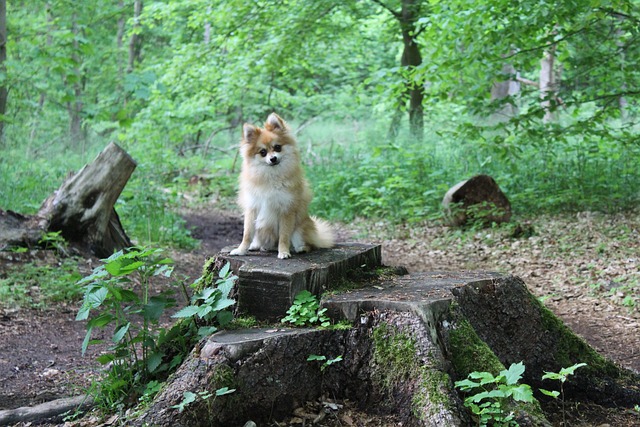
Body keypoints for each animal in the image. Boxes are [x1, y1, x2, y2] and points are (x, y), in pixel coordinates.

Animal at [230, 113, 336, 260]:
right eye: (263, 152)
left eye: (277, 147)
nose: (273, 158)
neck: (272, 176)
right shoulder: (252, 208)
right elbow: (247, 234)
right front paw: (241, 250)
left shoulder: (286, 210)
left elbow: (284, 236)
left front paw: (284, 252)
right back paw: (256, 245)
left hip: (299, 229)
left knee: (307, 244)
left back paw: (300, 248)